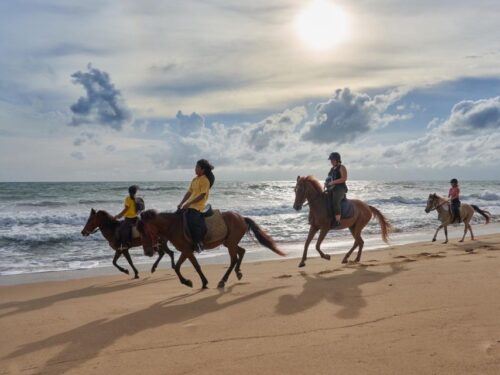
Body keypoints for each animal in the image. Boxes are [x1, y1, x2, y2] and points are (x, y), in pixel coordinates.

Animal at [137, 210, 286, 290]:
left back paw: (223, 281)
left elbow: (182, 267)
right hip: (229, 242)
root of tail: (241, 218)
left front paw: (189, 282)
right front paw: (199, 282)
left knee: (234, 259)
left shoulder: (186, 250)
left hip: (230, 243)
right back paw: (238, 272)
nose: (148, 252)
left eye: (145, 232)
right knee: (241, 252)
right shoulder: (187, 251)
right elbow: (188, 266)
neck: (173, 226)